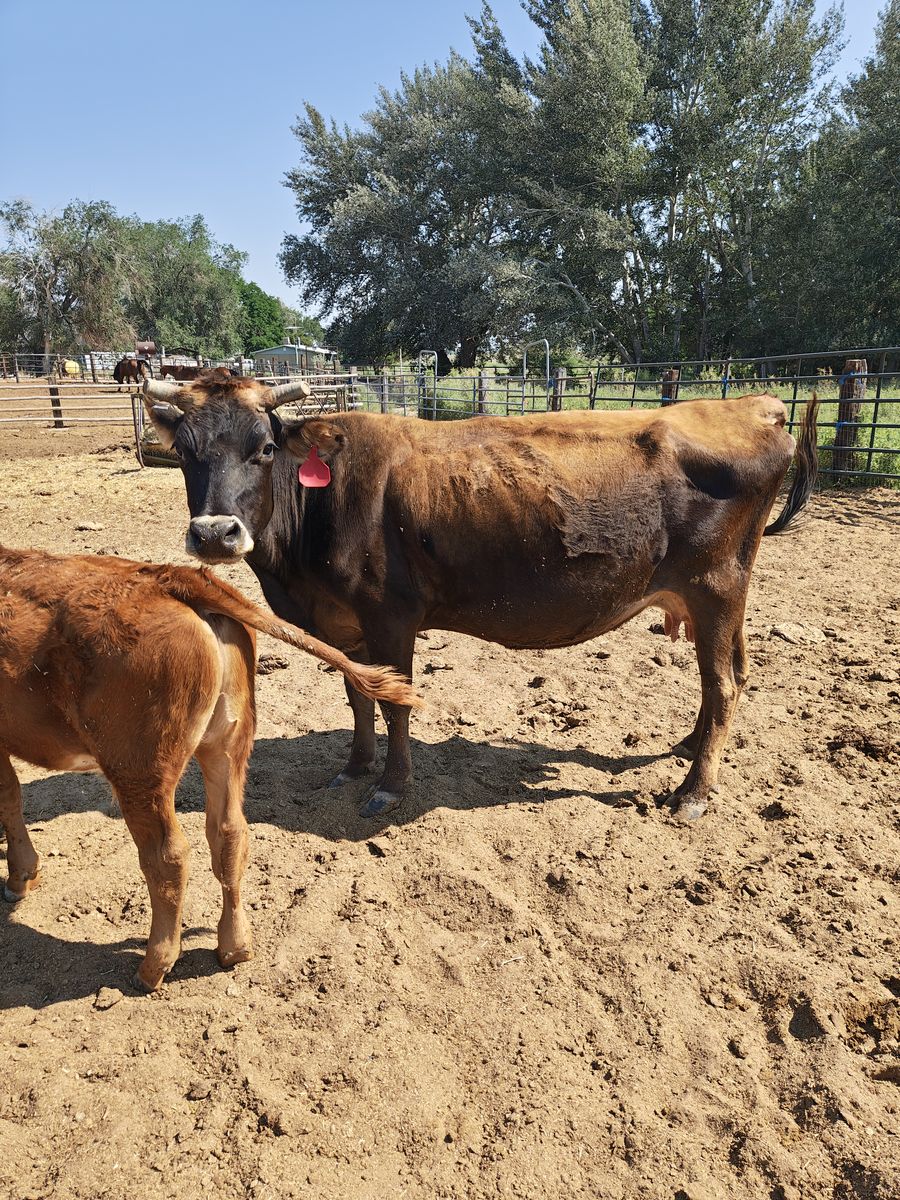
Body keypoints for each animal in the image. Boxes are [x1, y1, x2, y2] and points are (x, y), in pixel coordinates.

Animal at [0, 546, 419, 990]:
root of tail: (169, 577)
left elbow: (8, 798)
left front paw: (19, 877)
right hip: (226, 743)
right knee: (229, 834)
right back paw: (234, 947)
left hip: (138, 768)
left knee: (167, 857)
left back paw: (154, 966)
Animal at [142, 375, 819, 824]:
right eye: (184, 452)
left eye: (263, 447)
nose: (214, 533)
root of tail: (753, 406)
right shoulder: (345, 624)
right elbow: (358, 694)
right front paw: (356, 766)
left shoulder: (390, 617)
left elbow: (394, 703)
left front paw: (390, 785)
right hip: (717, 597)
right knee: (726, 677)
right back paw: (689, 749)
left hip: (716, 586)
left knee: (724, 682)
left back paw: (694, 792)